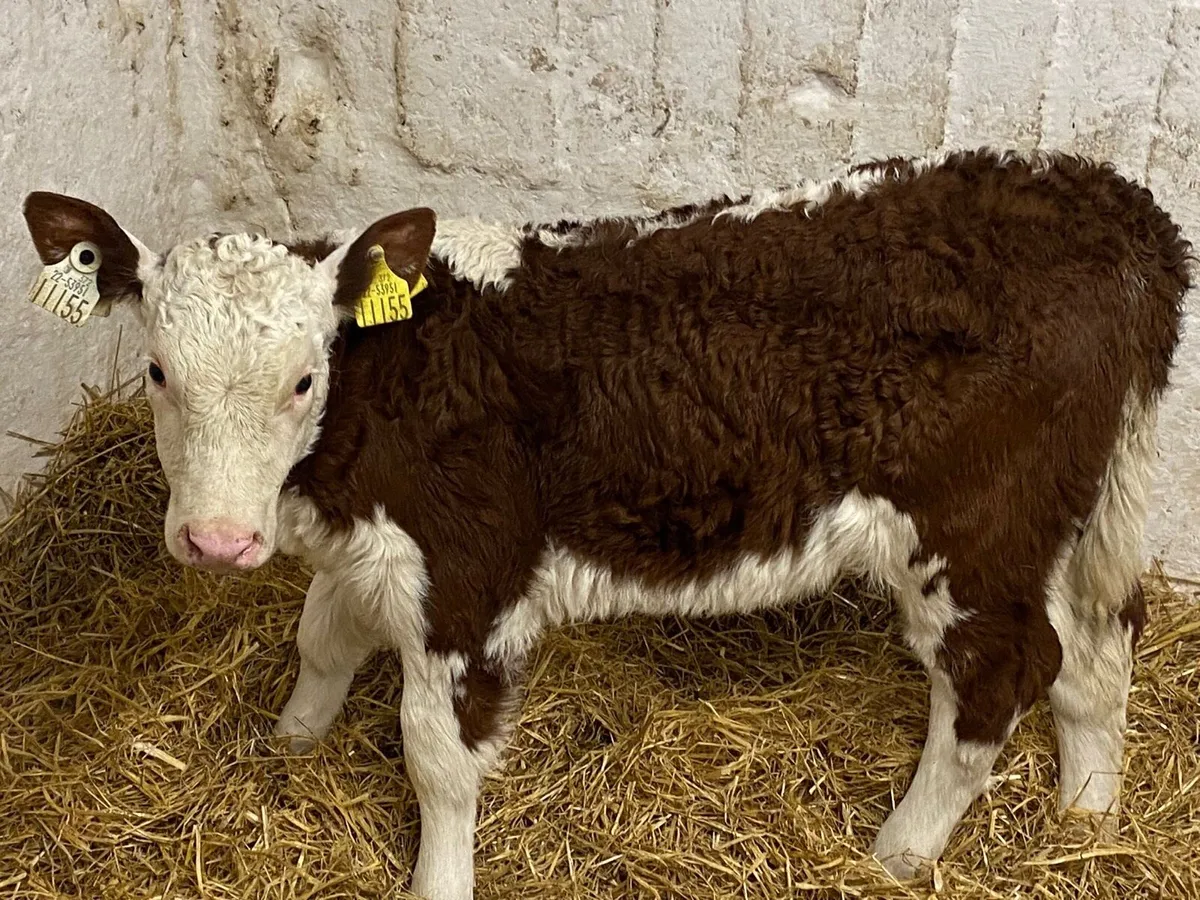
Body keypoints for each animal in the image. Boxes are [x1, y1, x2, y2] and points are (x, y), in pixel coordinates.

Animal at [22, 149, 1190, 899]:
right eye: (160, 373)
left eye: (305, 379)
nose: (218, 541)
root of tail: (1114, 206)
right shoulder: (376, 552)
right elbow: (322, 640)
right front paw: (289, 744)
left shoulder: (468, 580)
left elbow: (435, 755)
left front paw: (435, 883)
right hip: (1062, 518)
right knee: (1098, 647)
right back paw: (1089, 821)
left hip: (970, 531)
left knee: (1002, 673)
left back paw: (895, 854)